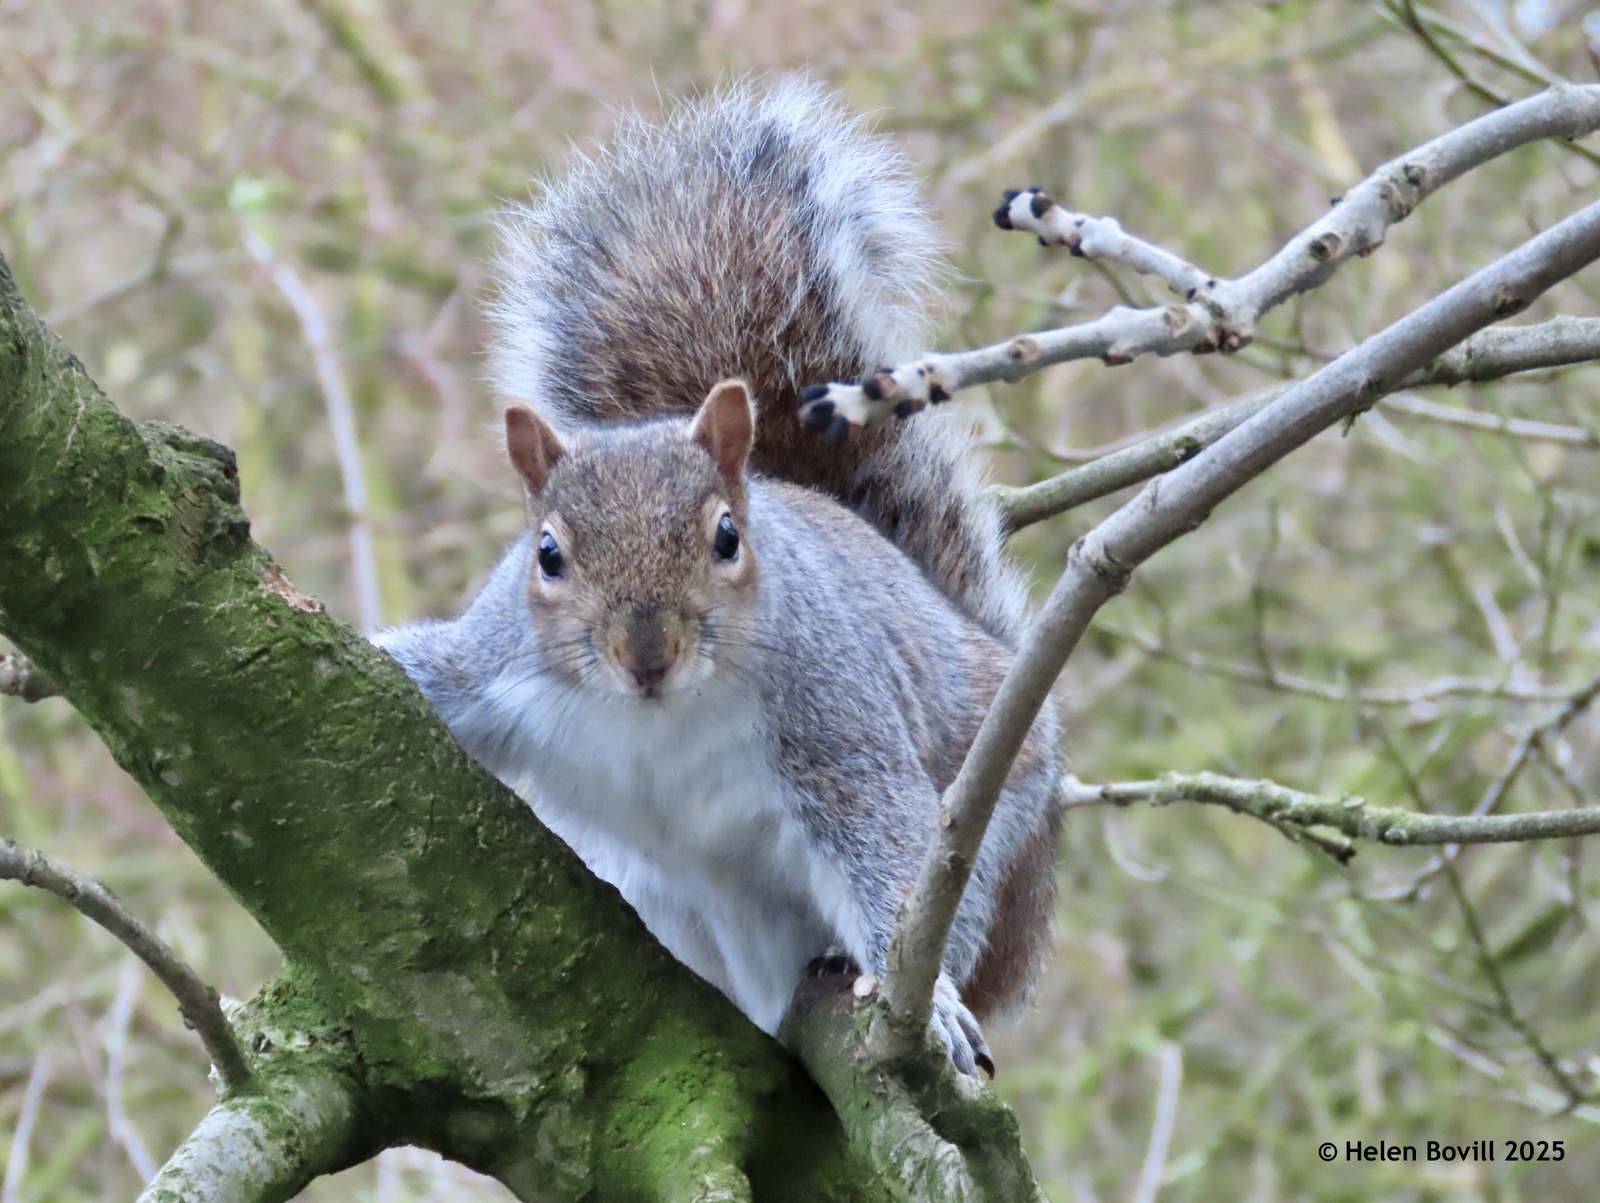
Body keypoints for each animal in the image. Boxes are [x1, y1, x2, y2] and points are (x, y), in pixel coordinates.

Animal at [377, 77, 1062, 1068]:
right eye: (546, 554)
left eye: (728, 538)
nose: (646, 654)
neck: (657, 719)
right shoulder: (494, 663)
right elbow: (428, 672)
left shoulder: (833, 718)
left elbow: (885, 841)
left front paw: (927, 1003)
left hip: (994, 828)